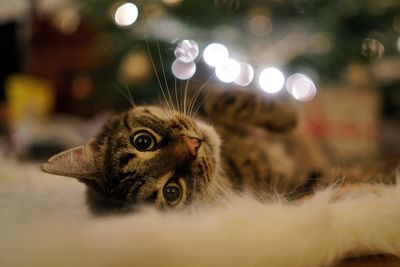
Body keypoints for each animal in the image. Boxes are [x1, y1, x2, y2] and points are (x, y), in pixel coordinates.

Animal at [42, 84, 330, 216]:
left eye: (143, 141)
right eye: (172, 192)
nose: (194, 144)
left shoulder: (201, 96)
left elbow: (229, 100)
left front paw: (286, 117)